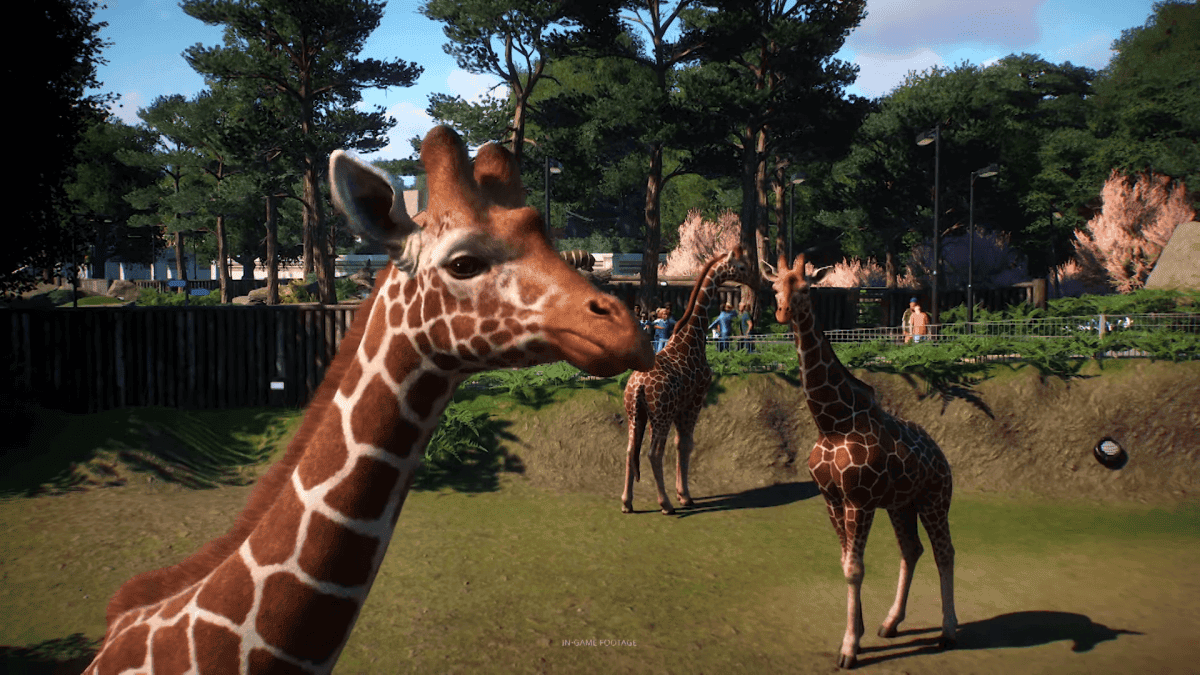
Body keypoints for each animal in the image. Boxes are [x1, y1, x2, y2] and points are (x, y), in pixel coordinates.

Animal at [621, 246, 758, 514]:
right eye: (742, 266)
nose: (756, 282)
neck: (692, 336)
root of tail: (638, 385)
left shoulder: (680, 406)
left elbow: (679, 444)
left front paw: (682, 492)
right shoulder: (695, 400)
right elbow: (686, 444)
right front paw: (685, 497)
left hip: (635, 413)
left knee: (631, 450)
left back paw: (627, 502)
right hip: (660, 414)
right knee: (653, 453)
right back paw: (665, 504)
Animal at [766, 252, 957, 669]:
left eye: (806, 289)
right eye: (775, 287)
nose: (782, 312)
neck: (833, 422)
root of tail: (941, 454)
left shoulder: (859, 501)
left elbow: (855, 569)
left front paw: (849, 648)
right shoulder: (832, 499)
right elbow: (846, 564)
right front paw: (862, 632)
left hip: (935, 499)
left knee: (944, 552)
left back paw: (949, 631)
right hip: (902, 505)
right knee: (912, 550)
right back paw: (891, 623)